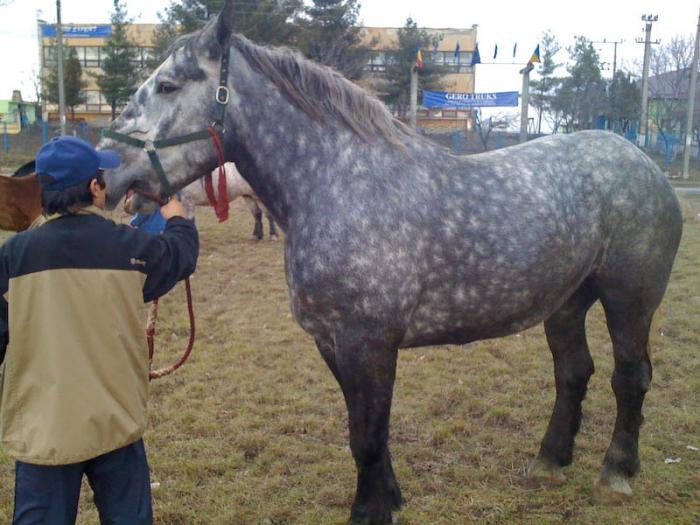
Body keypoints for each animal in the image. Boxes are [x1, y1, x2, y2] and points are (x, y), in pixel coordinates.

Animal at [98, 3, 684, 520]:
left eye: (169, 85)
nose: (109, 174)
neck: (338, 185)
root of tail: (644, 165)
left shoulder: (368, 342)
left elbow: (367, 436)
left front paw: (370, 510)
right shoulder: (332, 343)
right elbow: (364, 430)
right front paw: (389, 498)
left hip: (630, 301)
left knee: (630, 377)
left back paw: (616, 474)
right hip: (566, 302)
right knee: (573, 371)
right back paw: (549, 462)